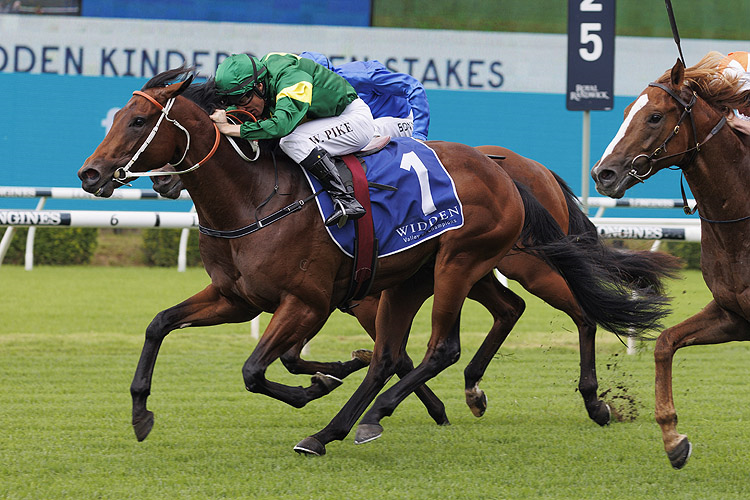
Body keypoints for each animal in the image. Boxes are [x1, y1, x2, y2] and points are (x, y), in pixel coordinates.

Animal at [79, 67, 672, 458]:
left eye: (137, 121)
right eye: (120, 118)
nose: (90, 174)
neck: (256, 198)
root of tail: (508, 170)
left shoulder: (310, 301)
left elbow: (258, 369)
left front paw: (316, 386)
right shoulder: (237, 298)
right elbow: (160, 325)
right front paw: (140, 413)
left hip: (471, 263)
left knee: (483, 336)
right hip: (427, 275)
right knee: (451, 332)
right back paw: (348, 426)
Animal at [596, 54, 750, 468]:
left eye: (654, 117)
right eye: (625, 112)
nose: (603, 173)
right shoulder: (734, 315)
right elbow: (665, 342)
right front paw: (673, 439)